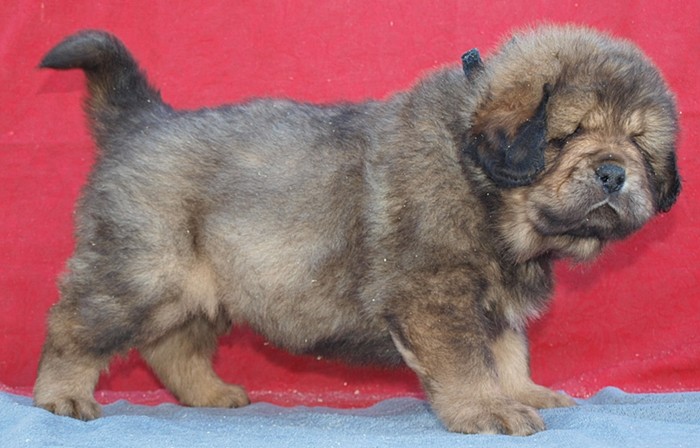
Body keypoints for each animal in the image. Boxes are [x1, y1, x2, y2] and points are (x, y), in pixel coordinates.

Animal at [33, 25, 680, 435]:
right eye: (567, 136)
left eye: (640, 145)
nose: (614, 172)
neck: (482, 184)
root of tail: (142, 121)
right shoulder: (436, 294)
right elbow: (470, 362)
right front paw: (488, 411)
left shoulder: (488, 300)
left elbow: (507, 351)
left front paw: (521, 391)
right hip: (139, 271)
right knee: (73, 328)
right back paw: (61, 395)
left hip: (202, 286)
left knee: (172, 346)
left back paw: (211, 394)